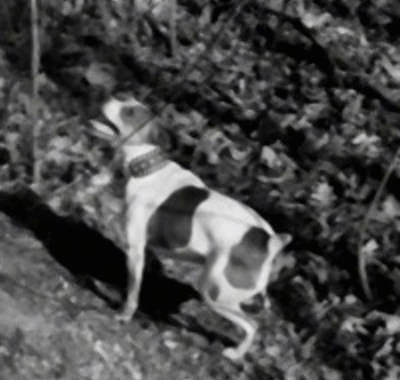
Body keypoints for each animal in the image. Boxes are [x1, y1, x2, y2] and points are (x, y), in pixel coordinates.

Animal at [90, 95, 290, 360]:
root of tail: (269, 241)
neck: (148, 168)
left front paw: (124, 314)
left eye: (129, 112)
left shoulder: (135, 249)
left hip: (215, 292)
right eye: (125, 100)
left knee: (251, 325)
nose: (108, 97)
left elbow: (133, 290)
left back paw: (235, 354)